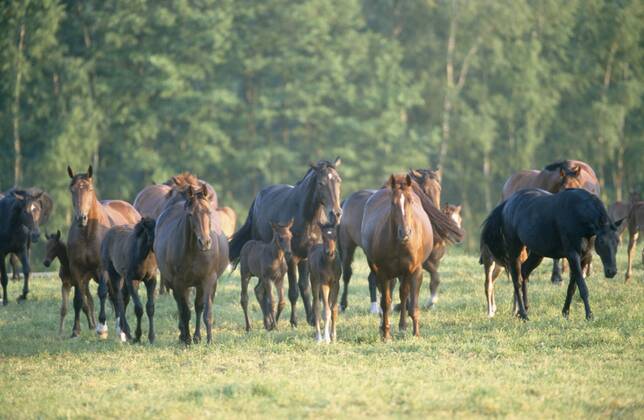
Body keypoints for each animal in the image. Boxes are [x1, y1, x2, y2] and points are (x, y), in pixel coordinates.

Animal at [66, 165, 141, 338]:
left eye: (89, 189)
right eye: (72, 190)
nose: (81, 218)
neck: (88, 234)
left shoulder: (101, 268)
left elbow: (102, 293)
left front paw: (102, 328)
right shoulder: (76, 269)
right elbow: (78, 298)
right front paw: (75, 330)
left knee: (122, 297)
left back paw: (122, 329)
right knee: (116, 296)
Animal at [154, 183, 228, 345]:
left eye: (209, 212)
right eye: (190, 214)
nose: (205, 242)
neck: (194, 251)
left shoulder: (208, 280)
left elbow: (205, 311)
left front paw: (208, 340)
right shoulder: (178, 283)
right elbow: (185, 311)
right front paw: (186, 338)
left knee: (197, 306)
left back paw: (196, 336)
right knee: (181, 306)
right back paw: (183, 334)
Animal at [229, 158, 343, 327]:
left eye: (338, 181)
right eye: (321, 183)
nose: (336, 213)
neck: (307, 217)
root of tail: (256, 200)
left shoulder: (306, 257)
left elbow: (306, 287)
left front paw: (311, 318)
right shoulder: (291, 258)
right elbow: (294, 291)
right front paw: (294, 321)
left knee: (260, 289)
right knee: (261, 290)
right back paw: (268, 321)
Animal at [361, 174, 435, 340]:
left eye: (411, 201)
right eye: (392, 203)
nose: (405, 233)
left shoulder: (414, 271)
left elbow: (412, 303)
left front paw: (416, 333)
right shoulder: (383, 272)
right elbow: (385, 302)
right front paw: (386, 334)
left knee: (403, 294)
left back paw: (403, 326)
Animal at [481, 188, 621, 320]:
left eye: (617, 241)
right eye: (602, 241)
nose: (612, 271)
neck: (578, 214)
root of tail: (507, 204)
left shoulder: (582, 257)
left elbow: (572, 287)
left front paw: (565, 312)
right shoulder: (572, 255)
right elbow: (582, 287)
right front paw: (589, 315)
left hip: (536, 254)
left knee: (524, 272)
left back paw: (523, 310)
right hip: (515, 250)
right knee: (517, 280)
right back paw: (524, 314)